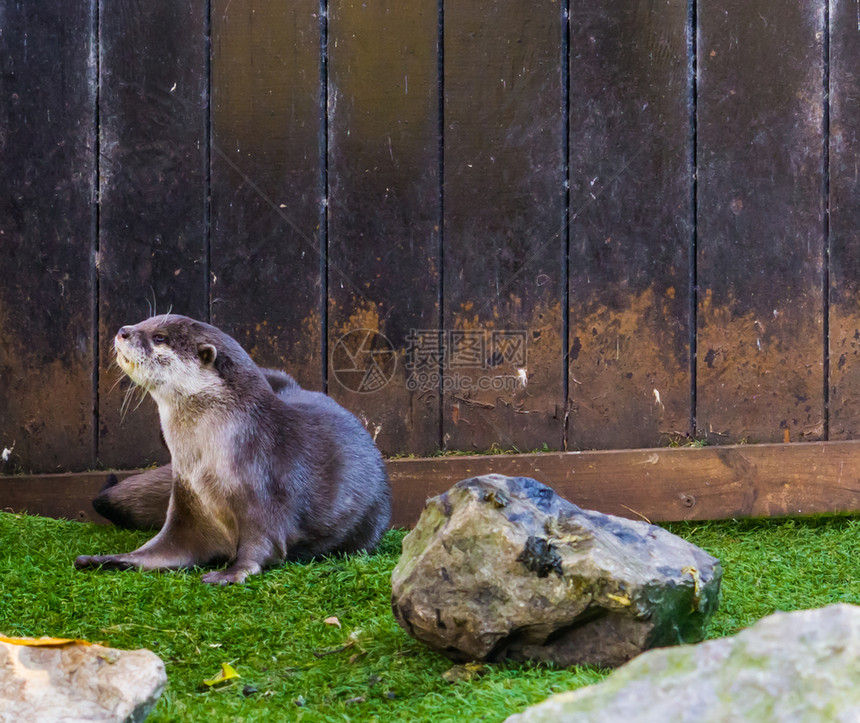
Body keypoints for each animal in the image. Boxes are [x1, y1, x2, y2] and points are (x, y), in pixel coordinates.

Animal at [75, 314, 392, 584]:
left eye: (160, 337)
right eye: (146, 321)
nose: (123, 330)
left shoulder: (263, 492)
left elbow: (263, 545)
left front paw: (230, 573)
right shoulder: (187, 501)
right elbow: (162, 550)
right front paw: (105, 559)